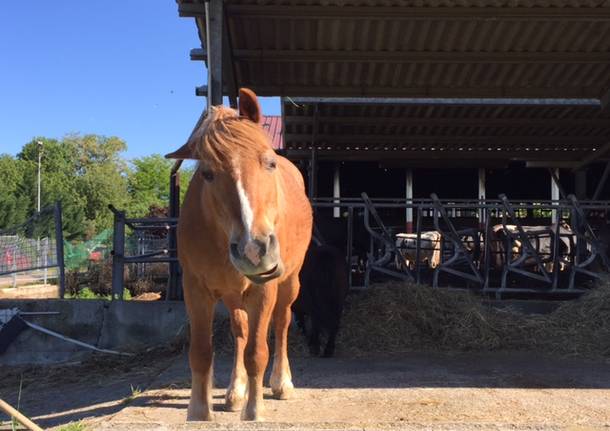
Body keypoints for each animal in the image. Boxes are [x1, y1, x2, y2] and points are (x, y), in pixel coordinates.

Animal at [165, 88, 312, 422]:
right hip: (233, 294)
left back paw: (281, 384)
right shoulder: (195, 289)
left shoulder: (264, 288)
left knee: (281, 323)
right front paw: (199, 412)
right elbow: (201, 352)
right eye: (207, 174)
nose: (253, 250)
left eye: (269, 163)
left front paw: (254, 411)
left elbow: (257, 352)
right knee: (240, 330)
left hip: (290, 284)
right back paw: (236, 392)